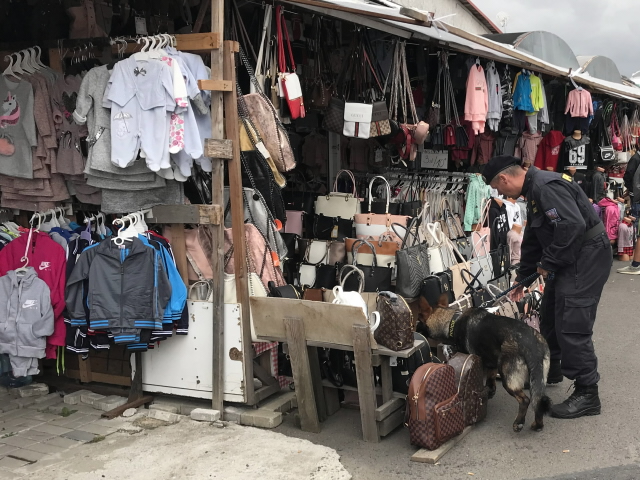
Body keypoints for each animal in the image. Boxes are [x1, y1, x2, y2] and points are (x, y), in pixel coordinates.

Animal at [418, 294, 552, 434]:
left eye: (419, 319)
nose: (414, 329)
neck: (451, 321)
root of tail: (532, 346)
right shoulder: (491, 364)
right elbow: (490, 379)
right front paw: (489, 391)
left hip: (508, 380)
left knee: (525, 400)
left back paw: (519, 423)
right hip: (538, 379)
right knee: (539, 401)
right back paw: (538, 425)